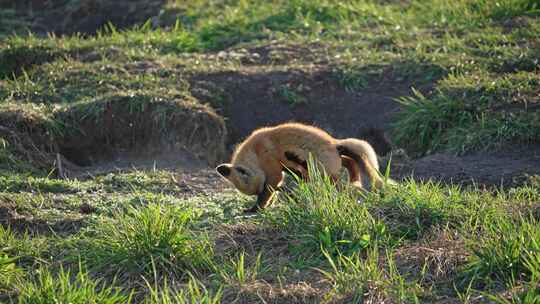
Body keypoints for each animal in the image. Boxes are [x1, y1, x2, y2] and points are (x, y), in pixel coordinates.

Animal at [215, 122, 384, 213]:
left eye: (260, 188)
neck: (255, 151)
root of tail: (334, 143)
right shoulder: (279, 171)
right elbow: (275, 188)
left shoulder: (272, 172)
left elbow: (269, 190)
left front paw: (256, 208)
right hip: (320, 171)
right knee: (348, 165)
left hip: (324, 175)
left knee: (340, 185)